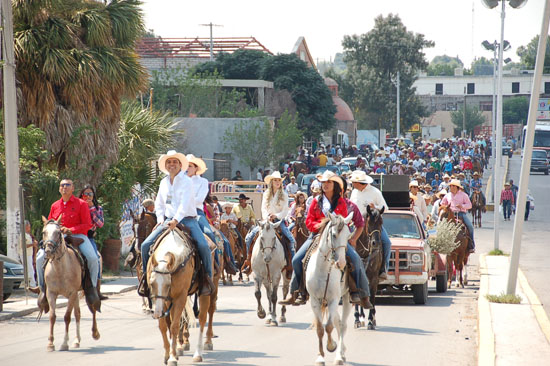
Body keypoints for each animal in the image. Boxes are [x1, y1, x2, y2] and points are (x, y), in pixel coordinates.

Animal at [41, 217, 100, 352]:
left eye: (58, 232)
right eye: (44, 232)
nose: (48, 251)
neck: (59, 268)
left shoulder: (72, 293)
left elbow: (67, 317)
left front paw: (64, 344)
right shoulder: (51, 293)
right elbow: (52, 316)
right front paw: (50, 343)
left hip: (84, 291)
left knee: (93, 307)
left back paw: (95, 333)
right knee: (77, 314)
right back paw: (77, 340)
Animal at [149, 227, 224, 364]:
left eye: (168, 284)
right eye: (152, 284)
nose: (157, 313)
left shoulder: (180, 297)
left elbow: (174, 325)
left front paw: (173, 357)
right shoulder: (164, 300)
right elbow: (164, 325)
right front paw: (168, 353)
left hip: (210, 288)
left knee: (205, 315)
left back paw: (201, 349)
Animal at [306, 212, 354, 366]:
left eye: (348, 236)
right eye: (333, 234)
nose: (342, 263)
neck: (323, 270)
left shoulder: (334, 299)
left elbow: (329, 326)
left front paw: (332, 346)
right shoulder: (314, 300)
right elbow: (320, 328)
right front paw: (320, 357)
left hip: (346, 298)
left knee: (342, 324)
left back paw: (340, 355)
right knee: (338, 322)